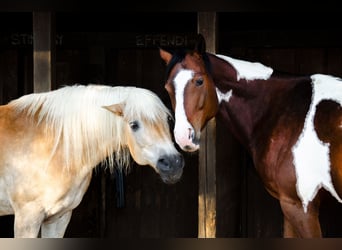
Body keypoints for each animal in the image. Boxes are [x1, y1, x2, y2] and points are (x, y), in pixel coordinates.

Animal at [0, 83, 184, 237]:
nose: (173, 163)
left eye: (168, 120)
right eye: (134, 125)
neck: (54, 144)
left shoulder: (58, 218)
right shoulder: (27, 218)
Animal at [160, 34, 342, 237]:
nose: (183, 137)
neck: (283, 108)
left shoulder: (302, 207)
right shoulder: (288, 205)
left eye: (199, 81)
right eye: (168, 88)